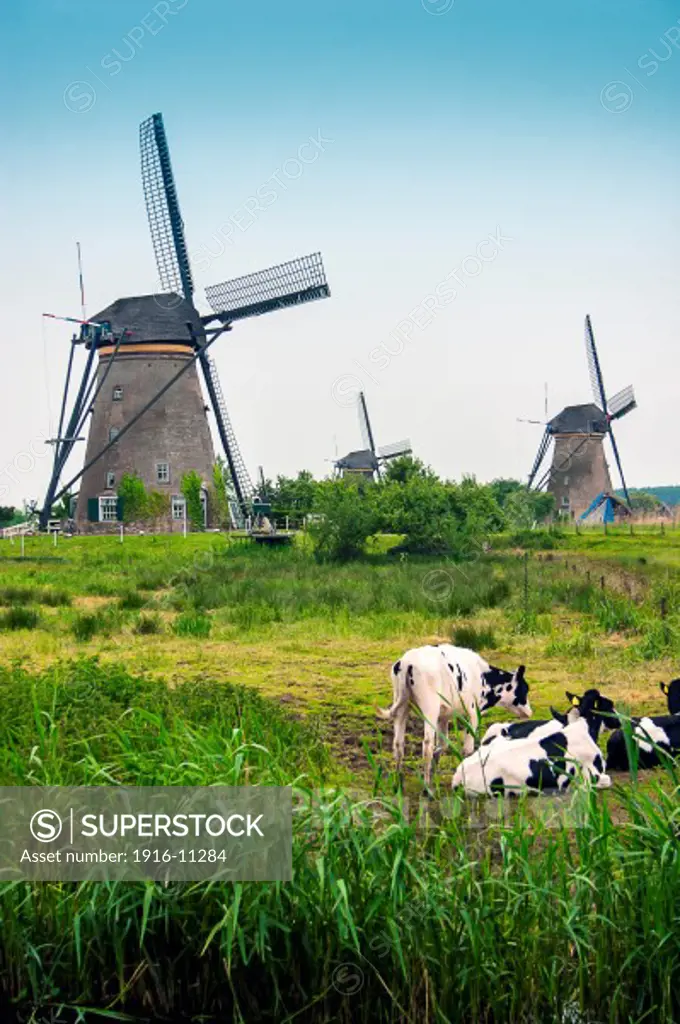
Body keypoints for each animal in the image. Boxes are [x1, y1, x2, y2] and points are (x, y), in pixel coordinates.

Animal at [376, 643, 532, 786]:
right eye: (525, 688)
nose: (530, 712)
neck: (482, 675)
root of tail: (407, 662)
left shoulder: (443, 717)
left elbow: (442, 745)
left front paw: (435, 773)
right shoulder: (472, 714)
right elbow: (467, 749)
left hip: (402, 706)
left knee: (398, 743)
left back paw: (398, 781)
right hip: (430, 709)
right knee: (427, 745)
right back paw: (426, 786)